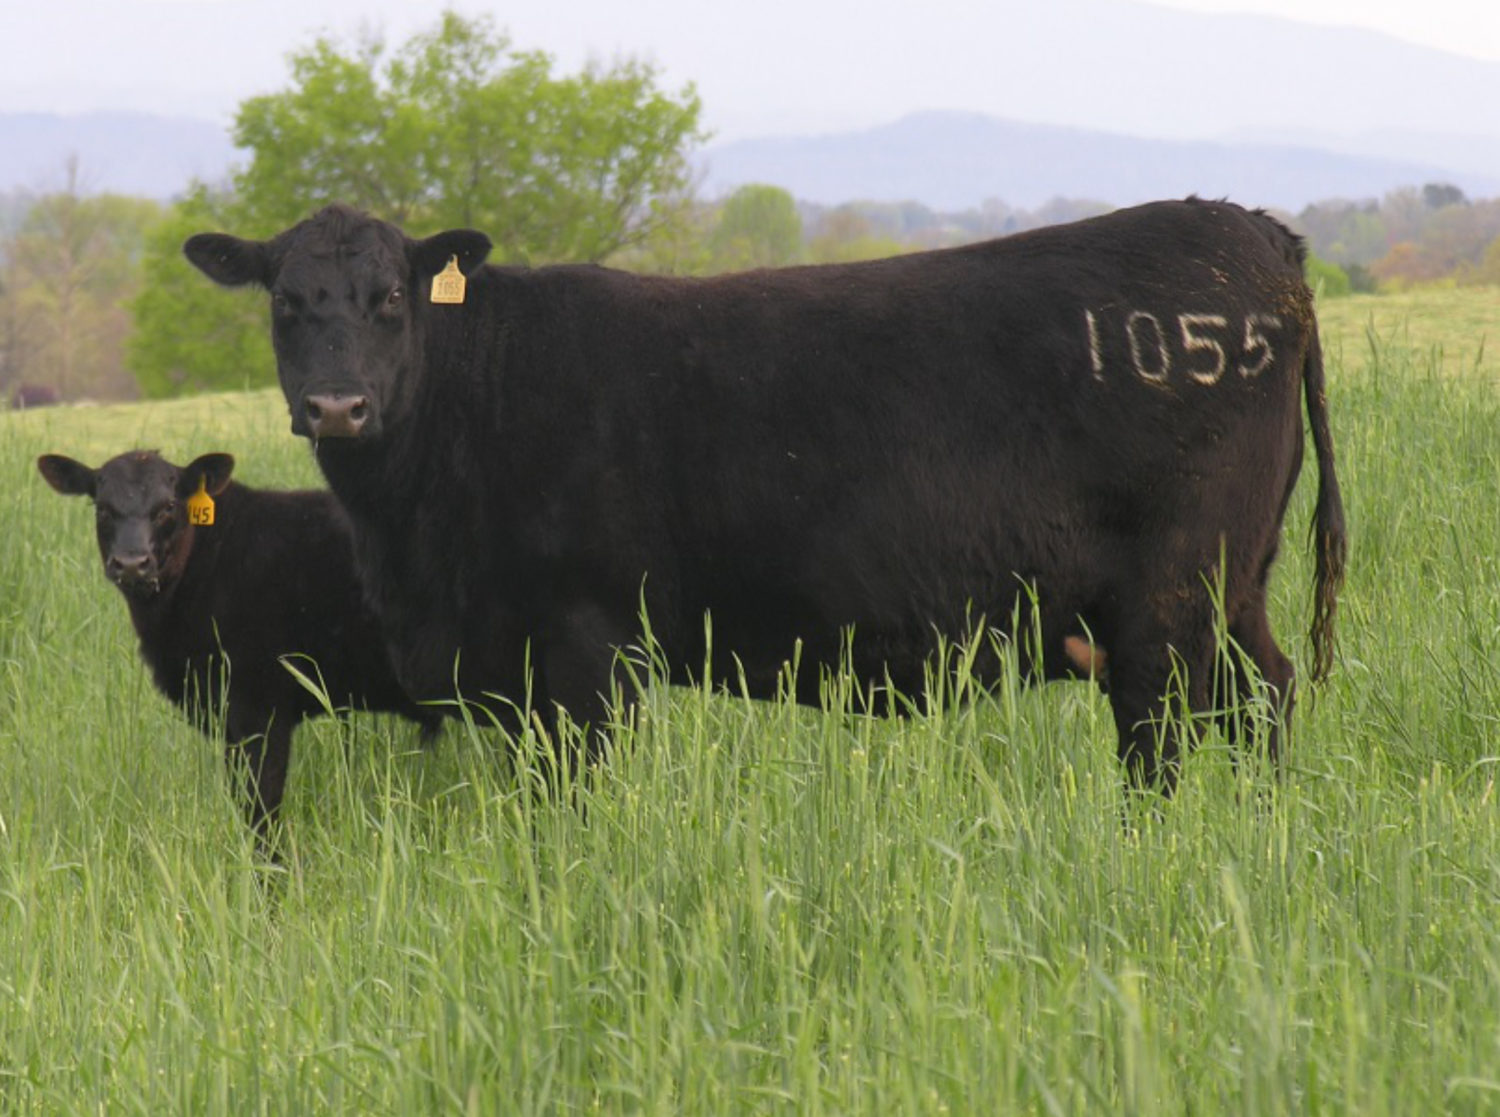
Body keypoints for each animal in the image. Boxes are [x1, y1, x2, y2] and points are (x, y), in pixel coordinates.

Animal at [184, 202, 1350, 791]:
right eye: (286, 303)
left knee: (1166, 725)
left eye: (390, 297)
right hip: (1236, 584)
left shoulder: (585, 644)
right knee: (1268, 695)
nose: (337, 406)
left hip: (1170, 591)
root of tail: (1254, 234)